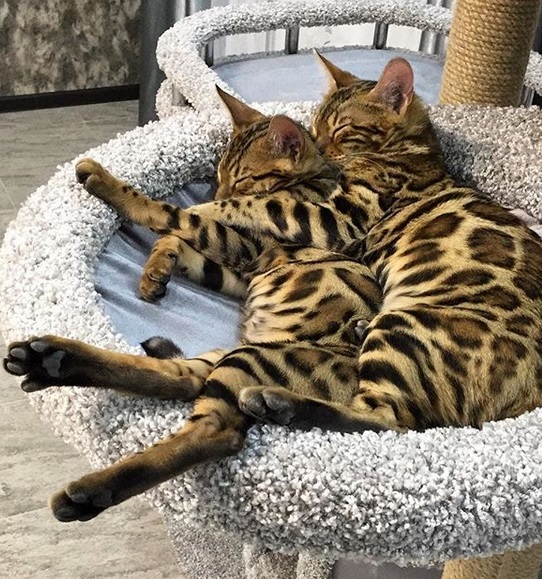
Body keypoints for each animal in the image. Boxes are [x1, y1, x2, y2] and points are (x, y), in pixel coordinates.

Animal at [2, 94, 382, 520]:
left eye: (243, 181)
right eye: (218, 174)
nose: (217, 197)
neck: (311, 181)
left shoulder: (249, 245)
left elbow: (168, 213)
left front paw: (107, 182)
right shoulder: (241, 268)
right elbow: (181, 239)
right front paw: (157, 268)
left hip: (258, 361)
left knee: (217, 431)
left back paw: (90, 490)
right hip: (231, 357)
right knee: (179, 379)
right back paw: (52, 358)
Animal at [240, 55, 542, 436]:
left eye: (341, 129)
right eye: (315, 125)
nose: (318, 151)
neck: (414, 149)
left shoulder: (339, 220)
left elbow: (262, 205)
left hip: (402, 327)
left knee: (386, 420)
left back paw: (277, 401)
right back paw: (357, 331)